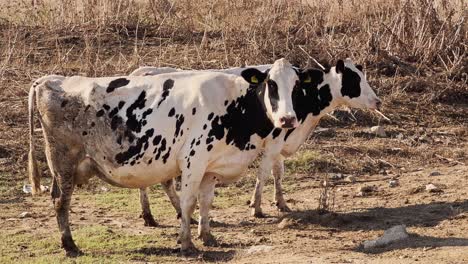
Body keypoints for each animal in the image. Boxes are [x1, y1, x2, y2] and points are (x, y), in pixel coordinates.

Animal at [128, 58, 380, 223]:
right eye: (354, 79)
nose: (378, 101)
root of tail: (142, 72)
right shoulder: (273, 142)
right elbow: (264, 173)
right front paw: (256, 207)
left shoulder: (280, 139)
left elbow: (278, 172)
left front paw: (281, 203)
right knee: (164, 181)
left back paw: (152, 215)